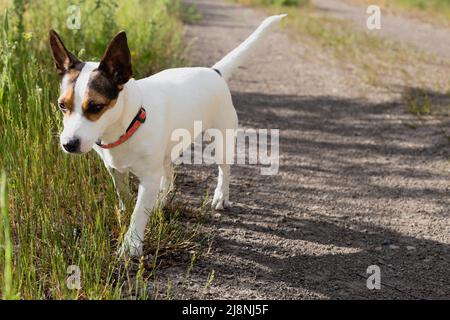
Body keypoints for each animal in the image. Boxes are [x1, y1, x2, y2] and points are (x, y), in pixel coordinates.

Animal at [50, 13, 284, 256]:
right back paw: (161, 200)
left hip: (222, 140)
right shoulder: (115, 170)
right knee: (169, 175)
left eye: (96, 107)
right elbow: (125, 197)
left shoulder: (149, 177)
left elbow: (139, 212)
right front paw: (126, 215)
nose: (68, 144)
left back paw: (221, 195)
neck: (130, 122)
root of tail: (214, 71)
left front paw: (131, 244)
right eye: (62, 105)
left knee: (224, 170)